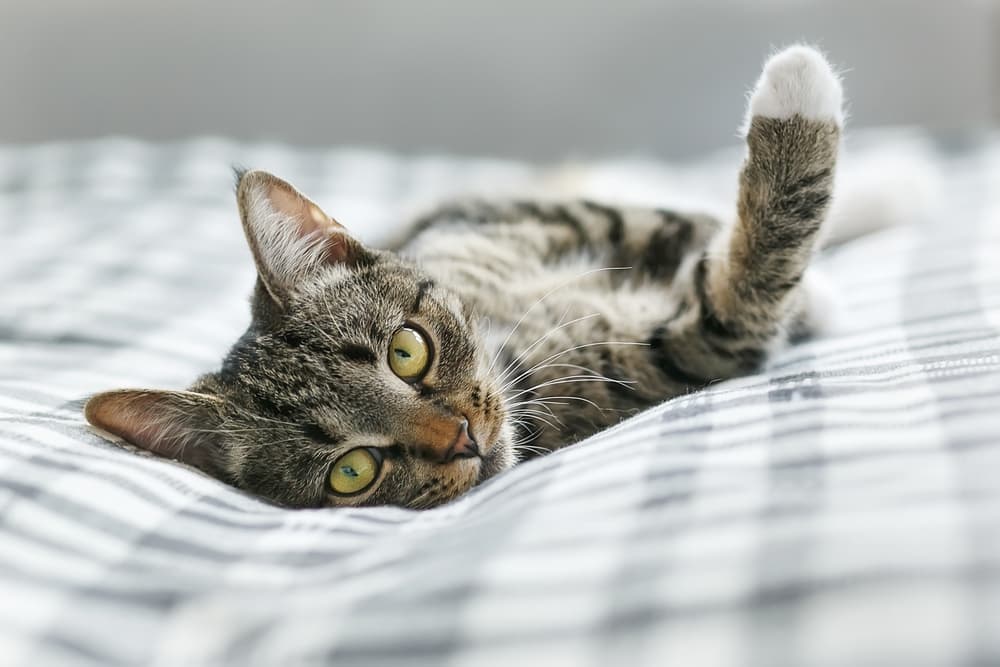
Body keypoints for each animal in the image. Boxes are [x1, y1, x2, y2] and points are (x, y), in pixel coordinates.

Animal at [88, 44, 844, 508]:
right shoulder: (674, 353)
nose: (462, 439)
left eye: (407, 350)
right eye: (352, 471)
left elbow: (673, 221)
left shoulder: (528, 216)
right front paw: (798, 104)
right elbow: (747, 291)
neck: (508, 337)